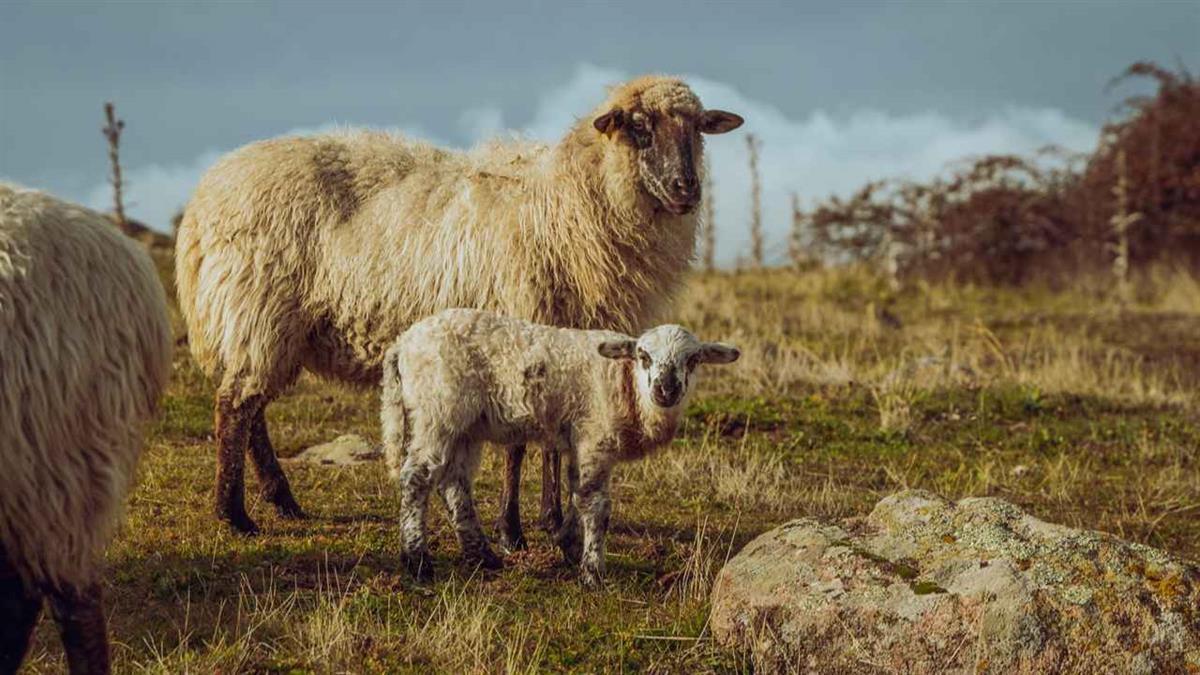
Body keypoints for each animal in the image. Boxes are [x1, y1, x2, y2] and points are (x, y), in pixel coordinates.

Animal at [175, 73, 744, 535]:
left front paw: (552, 518)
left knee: (251, 409)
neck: (569, 203)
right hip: (257, 310)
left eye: (698, 130)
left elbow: (553, 440)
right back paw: (235, 515)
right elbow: (518, 444)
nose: (687, 189)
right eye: (640, 128)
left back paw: (281, 501)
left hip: (268, 326)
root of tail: (204, 200)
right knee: (234, 407)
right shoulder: (523, 327)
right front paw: (513, 528)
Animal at [384, 306, 739, 583]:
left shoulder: (582, 441)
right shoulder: (594, 437)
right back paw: (417, 561)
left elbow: (577, 494)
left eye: (694, 359)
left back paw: (483, 556)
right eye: (643, 356)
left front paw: (568, 544)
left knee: (454, 483)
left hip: (465, 425)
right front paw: (592, 571)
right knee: (416, 477)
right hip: (437, 411)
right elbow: (596, 505)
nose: (666, 389)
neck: (624, 384)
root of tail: (403, 343)